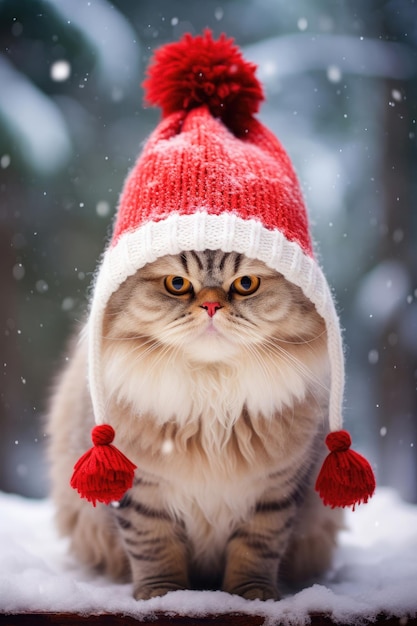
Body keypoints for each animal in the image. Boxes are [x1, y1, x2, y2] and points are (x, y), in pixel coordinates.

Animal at [47, 249, 342, 600]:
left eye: (246, 284)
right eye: (177, 284)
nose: (211, 307)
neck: (212, 396)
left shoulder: (275, 495)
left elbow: (255, 553)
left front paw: (254, 596)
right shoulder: (141, 495)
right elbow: (155, 551)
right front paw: (161, 595)